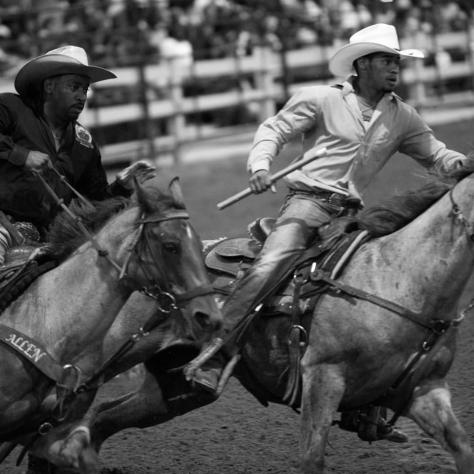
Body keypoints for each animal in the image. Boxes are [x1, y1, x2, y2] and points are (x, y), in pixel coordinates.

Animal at [0, 170, 221, 470]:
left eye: (199, 245)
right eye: (170, 246)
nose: (209, 315)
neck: (49, 326)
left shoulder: (44, 432)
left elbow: (79, 451)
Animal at [27, 175, 474, 474]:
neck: (396, 276)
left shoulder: (426, 390)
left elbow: (462, 449)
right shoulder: (322, 379)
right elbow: (311, 458)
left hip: (173, 390)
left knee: (100, 420)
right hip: (97, 362)